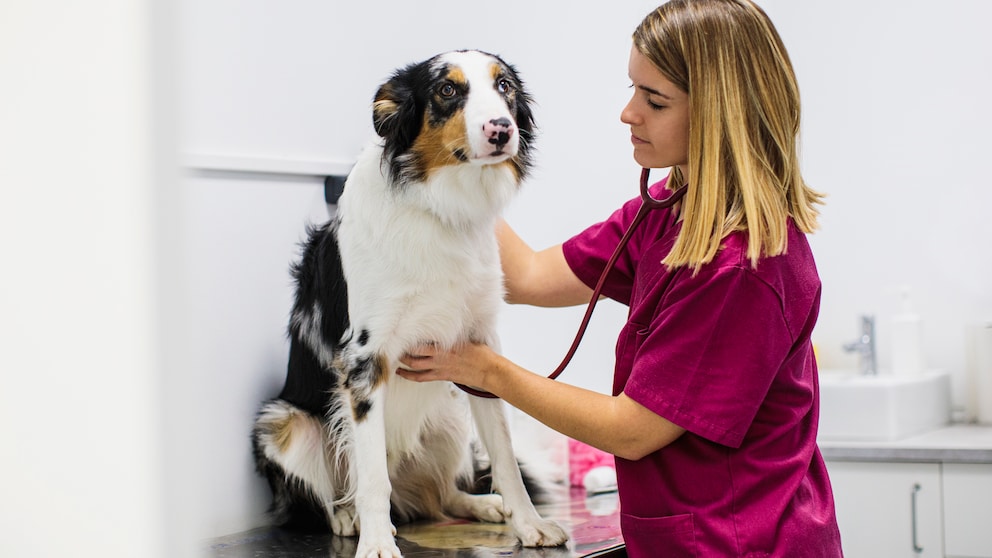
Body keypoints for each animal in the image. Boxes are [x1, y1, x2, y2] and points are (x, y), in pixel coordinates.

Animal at [252, 49, 568, 558]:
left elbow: (505, 456)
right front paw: (378, 543)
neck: (438, 207)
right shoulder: (364, 360)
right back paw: (348, 518)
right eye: (447, 90)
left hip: (449, 415)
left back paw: (483, 504)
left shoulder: (481, 349)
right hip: (282, 426)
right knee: (340, 494)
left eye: (504, 86)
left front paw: (529, 525)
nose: (502, 129)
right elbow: (372, 478)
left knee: (439, 496)